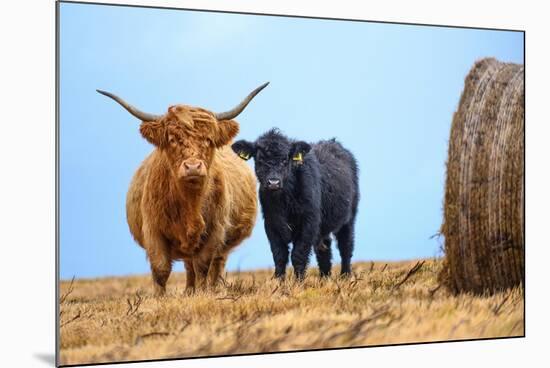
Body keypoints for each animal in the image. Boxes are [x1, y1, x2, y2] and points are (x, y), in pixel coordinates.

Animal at [97, 83, 270, 296]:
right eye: (172, 139)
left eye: (208, 140)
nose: (193, 167)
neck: (190, 205)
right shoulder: (153, 230)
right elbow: (161, 269)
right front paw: (160, 298)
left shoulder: (215, 230)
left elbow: (203, 265)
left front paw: (202, 293)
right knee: (189, 266)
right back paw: (189, 290)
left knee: (216, 264)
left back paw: (213, 288)